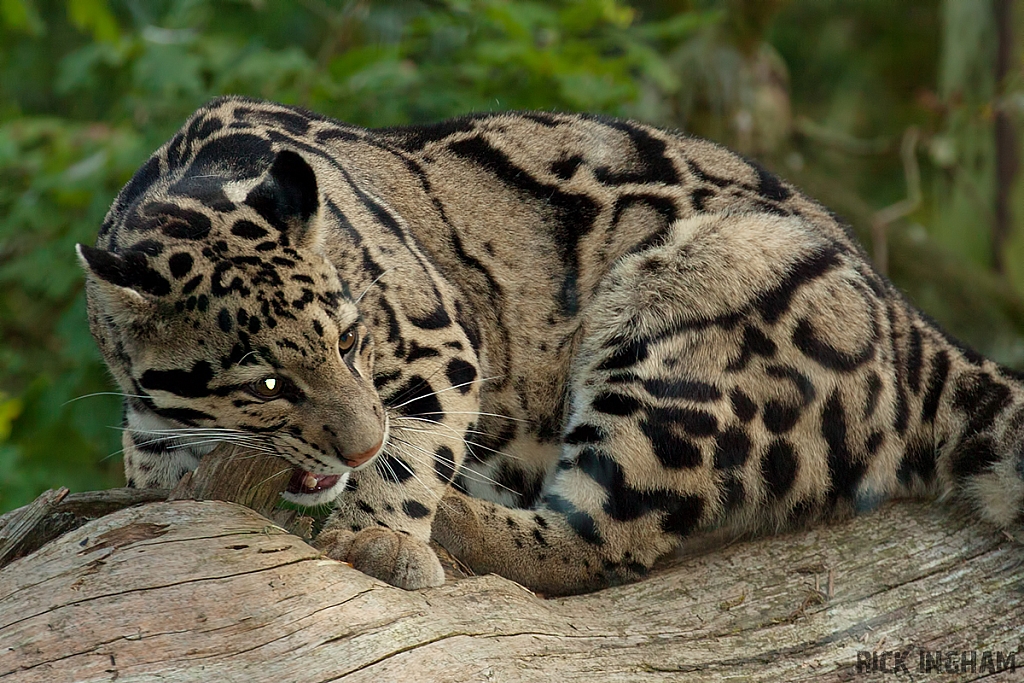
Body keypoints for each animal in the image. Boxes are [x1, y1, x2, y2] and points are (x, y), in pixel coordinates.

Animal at [79, 94, 1024, 593]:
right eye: (270, 385)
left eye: (351, 342)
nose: (359, 443)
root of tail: (920, 337)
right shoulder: (154, 425)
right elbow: (158, 471)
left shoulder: (436, 335)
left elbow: (419, 441)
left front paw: (384, 534)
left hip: (692, 310)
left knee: (602, 538)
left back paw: (454, 522)